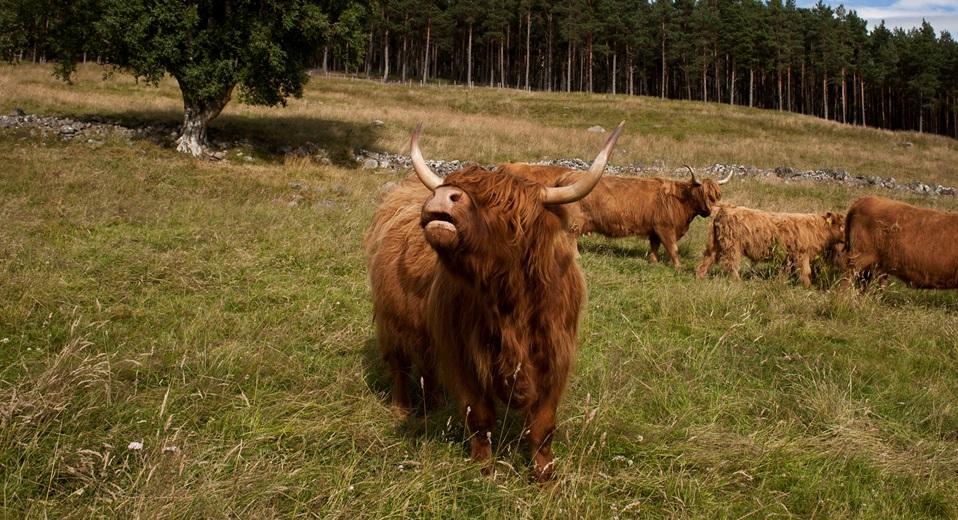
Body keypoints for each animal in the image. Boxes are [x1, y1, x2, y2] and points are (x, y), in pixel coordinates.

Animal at [364, 122, 624, 482]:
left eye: (505, 204)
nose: (443, 195)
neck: (510, 303)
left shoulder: (554, 356)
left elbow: (543, 426)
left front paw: (545, 478)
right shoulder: (465, 355)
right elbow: (480, 417)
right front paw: (483, 470)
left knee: (428, 365)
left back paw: (436, 404)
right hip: (393, 323)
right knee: (401, 366)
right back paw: (402, 409)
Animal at [498, 163, 733, 268]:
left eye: (717, 195)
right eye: (705, 195)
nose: (713, 211)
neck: (678, 199)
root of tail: (566, 176)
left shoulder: (655, 228)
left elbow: (655, 245)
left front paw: (654, 261)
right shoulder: (666, 227)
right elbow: (672, 247)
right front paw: (677, 266)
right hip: (574, 221)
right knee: (570, 238)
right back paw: (576, 256)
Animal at [694, 203, 847, 288]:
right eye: (843, 226)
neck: (818, 229)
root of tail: (723, 208)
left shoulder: (790, 256)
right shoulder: (802, 254)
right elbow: (805, 271)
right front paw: (809, 287)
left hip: (717, 243)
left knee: (708, 258)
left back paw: (701, 276)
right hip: (732, 245)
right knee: (730, 263)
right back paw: (738, 281)